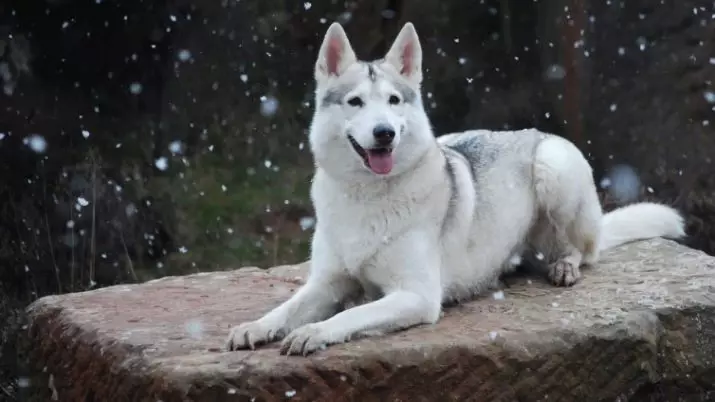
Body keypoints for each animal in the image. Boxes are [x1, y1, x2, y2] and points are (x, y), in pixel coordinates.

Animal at [225, 22, 688, 354]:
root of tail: (532, 131)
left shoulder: (416, 296)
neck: (368, 196)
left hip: (554, 168)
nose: (384, 133)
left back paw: (564, 265)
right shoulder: (325, 283)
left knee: (583, 250)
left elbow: (344, 318)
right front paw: (256, 326)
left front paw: (315, 332)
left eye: (393, 101)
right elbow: (287, 307)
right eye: (355, 102)